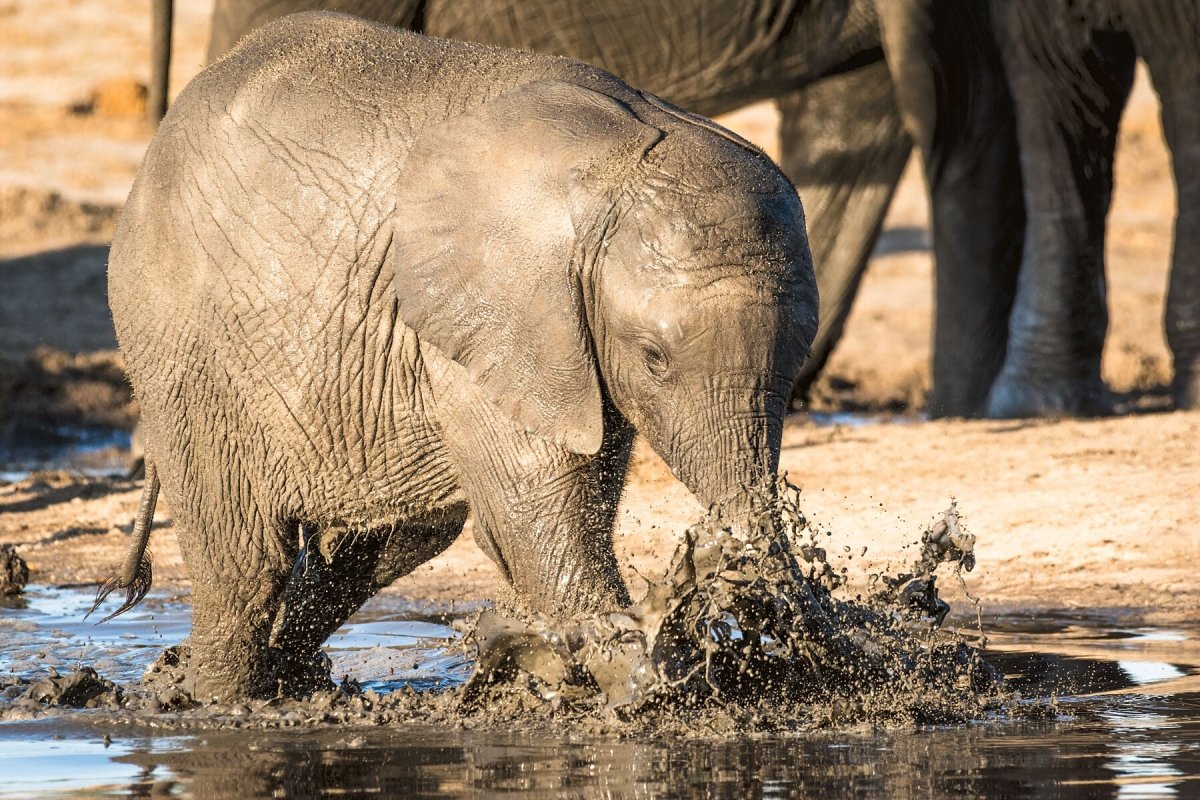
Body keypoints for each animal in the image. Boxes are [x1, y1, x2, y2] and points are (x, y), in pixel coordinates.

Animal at [103, 12, 820, 700]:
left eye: (795, 369)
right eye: (653, 358)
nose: (724, 578)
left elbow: (570, 499)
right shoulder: (499, 313)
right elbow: (536, 512)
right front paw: (652, 690)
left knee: (384, 546)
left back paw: (278, 680)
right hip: (179, 339)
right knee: (245, 558)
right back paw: (217, 697)